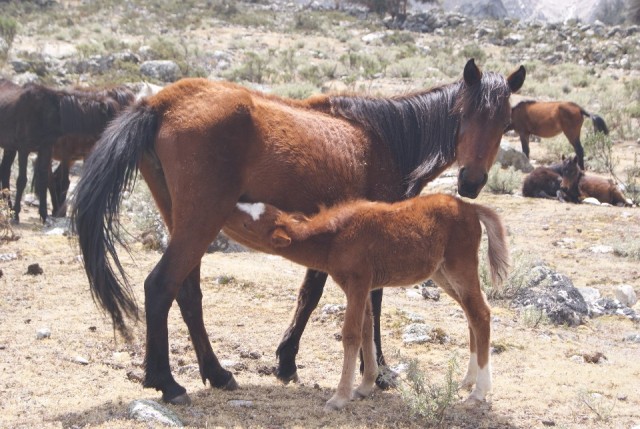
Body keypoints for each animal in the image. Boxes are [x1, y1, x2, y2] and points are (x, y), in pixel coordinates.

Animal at [0, 83, 135, 220]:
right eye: (115, 116)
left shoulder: (49, 149)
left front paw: (45, 215)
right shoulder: (26, 149)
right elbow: (23, 180)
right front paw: (16, 215)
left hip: (12, 149)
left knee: (7, 171)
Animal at [223, 195, 508, 411]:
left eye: (248, 224)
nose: (230, 203)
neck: (334, 238)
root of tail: (471, 208)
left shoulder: (358, 283)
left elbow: (351, 334)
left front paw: (339, 397)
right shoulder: (364, 287)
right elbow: (367, 329)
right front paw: (364, 386)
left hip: (460, 267)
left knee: (480, 314)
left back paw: (479, 391)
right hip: (442, 273)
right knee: (471, 312)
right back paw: (468, 380)